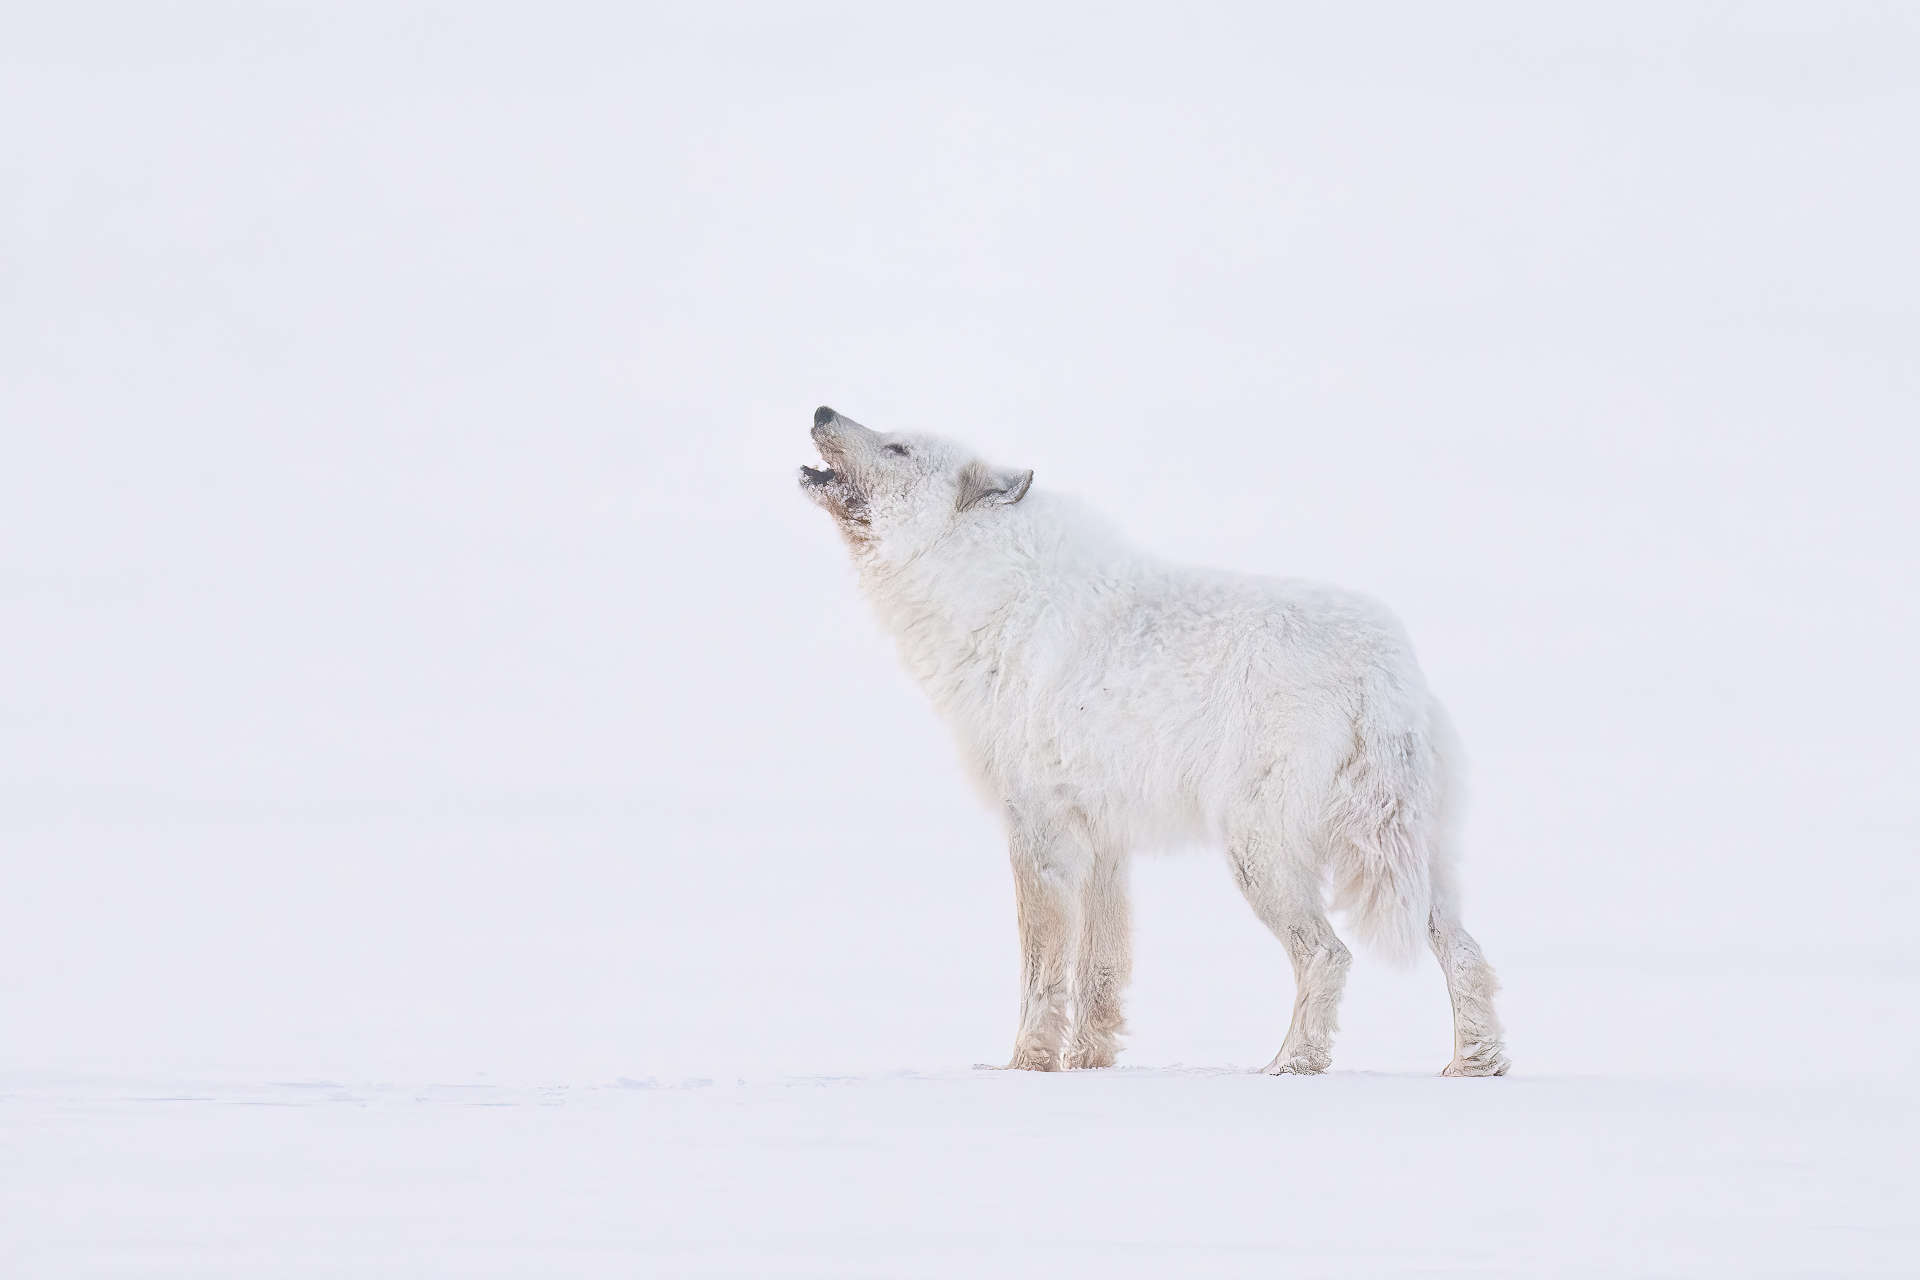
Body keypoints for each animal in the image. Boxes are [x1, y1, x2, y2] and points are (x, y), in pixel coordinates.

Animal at [799, 406, 1509, 1076]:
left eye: (897, 448)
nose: (822, 411)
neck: (991, 596)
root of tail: (1382, 664)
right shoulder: (1102, 841)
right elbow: (1098, 973)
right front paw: (1087, 1062)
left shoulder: (1038, 832)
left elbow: (1041, 976)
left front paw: (1025, 1065)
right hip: (1417, 869)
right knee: (1467, 953)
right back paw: (1475, 1063)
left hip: (1258, 855)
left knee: (1329, 954)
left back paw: (1290, 1063)